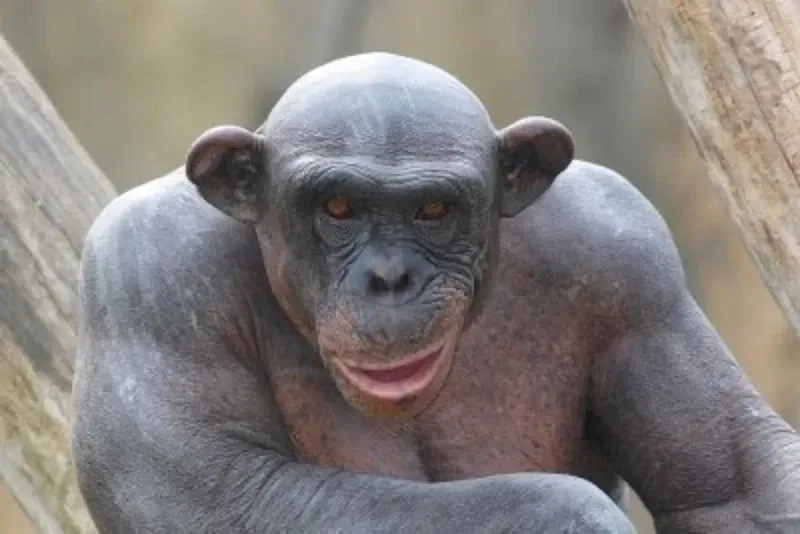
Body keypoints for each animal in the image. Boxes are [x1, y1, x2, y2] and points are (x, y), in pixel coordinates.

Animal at [72, 52, 800, 533]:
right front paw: (571, 517)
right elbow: (221, 493)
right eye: (337, 207)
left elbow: (735, 490)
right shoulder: (148, 273)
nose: (390, 277)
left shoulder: (632, 262)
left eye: (432, 210)